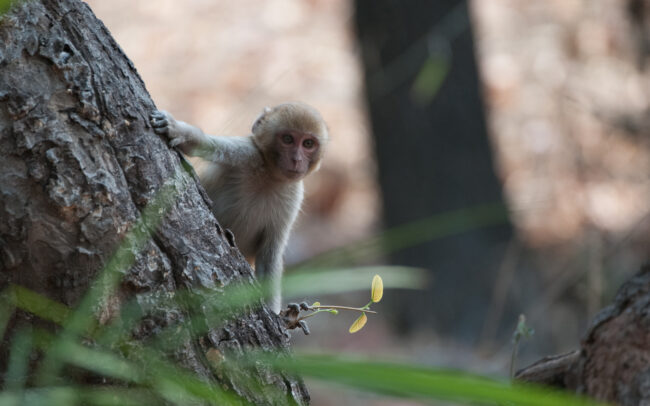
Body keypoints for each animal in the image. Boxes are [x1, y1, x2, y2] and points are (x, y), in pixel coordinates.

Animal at [149, 103, 328, 313]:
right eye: (288, 139)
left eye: (308, 144)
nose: (296, 159)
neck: (271, 176)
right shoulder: (248, 153)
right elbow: (208, 147)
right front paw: (182, 132)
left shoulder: (294, 196)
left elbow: (270, 254)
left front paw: (280, 316)